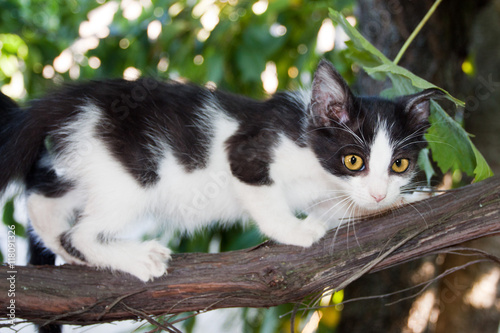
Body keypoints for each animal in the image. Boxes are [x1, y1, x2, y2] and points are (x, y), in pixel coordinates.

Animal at [0, 60, 440, 280]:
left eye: (400, 164)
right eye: (353, 160)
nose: (381, 192)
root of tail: (75, 100)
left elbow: (342, 210)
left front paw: (403, 201)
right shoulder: (246, 152)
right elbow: (263, 196)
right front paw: (296, 231)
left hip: (91, 165)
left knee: (43, 199)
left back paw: (67, 250)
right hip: (132, 178)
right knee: (81, 231)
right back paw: (135, 259)